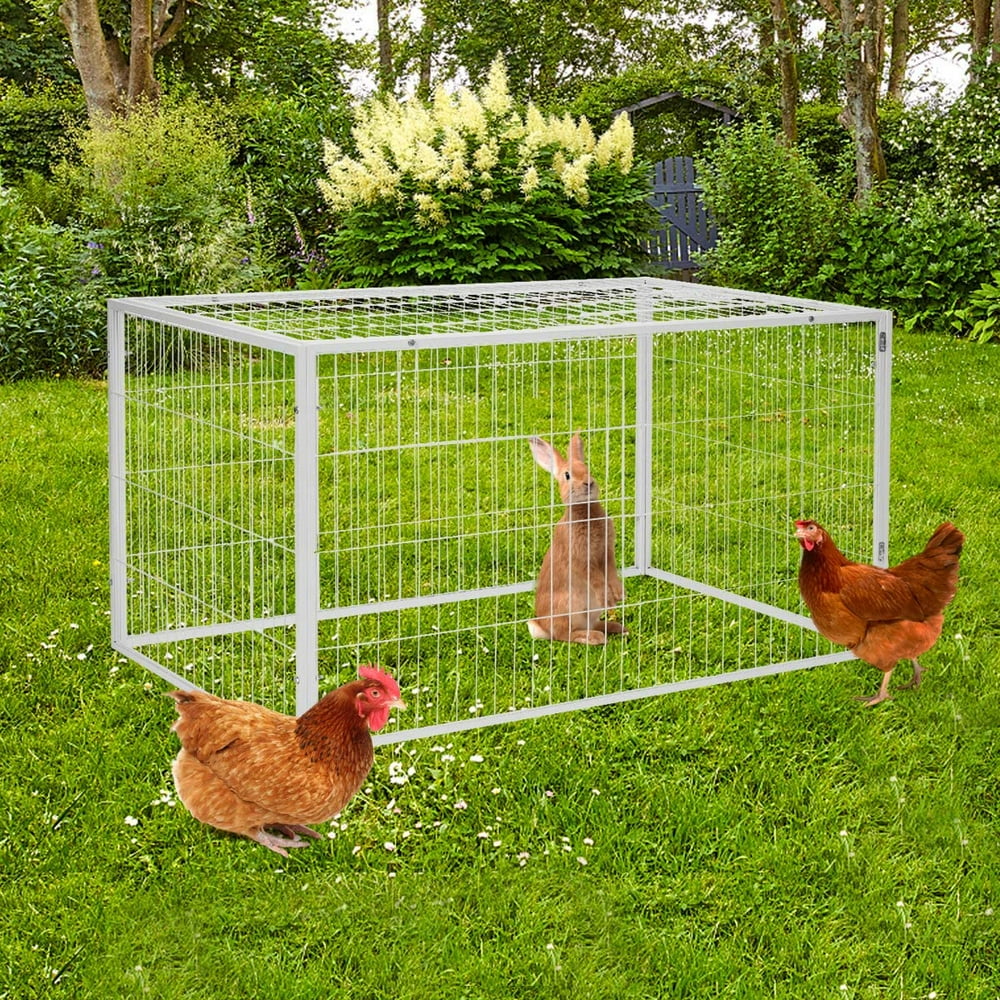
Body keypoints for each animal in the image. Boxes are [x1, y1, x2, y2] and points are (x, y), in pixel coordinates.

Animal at [527, 434, 626, 645]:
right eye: (567, 475)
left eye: (587, 469)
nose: (589, 483)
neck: (585, 510)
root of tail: (542, 627)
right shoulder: (581, 557)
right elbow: (595, 578)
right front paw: (609, 598)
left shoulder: (607, 552)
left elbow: (612, 571)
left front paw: (619, 594)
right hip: (569, 608)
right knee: (565, 635)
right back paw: (595, 638)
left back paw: (616, 628)